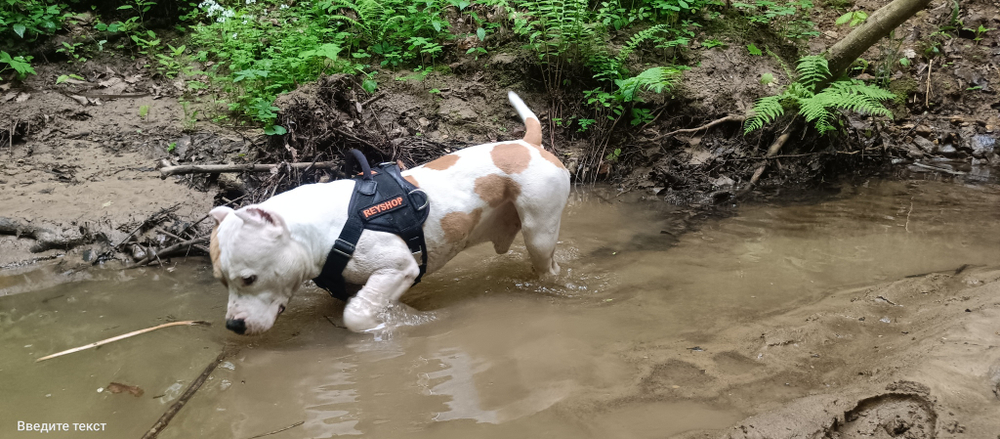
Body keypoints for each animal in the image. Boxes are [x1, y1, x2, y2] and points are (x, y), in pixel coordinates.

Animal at [209, 91, 572, 336]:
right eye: (222, 281)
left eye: (249, 278)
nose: (233, 325)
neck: (322, 229)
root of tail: (529, 144)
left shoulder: (398, 268)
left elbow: (355, 316)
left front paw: (398, 323)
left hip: (539, 232)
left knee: (549, 266)